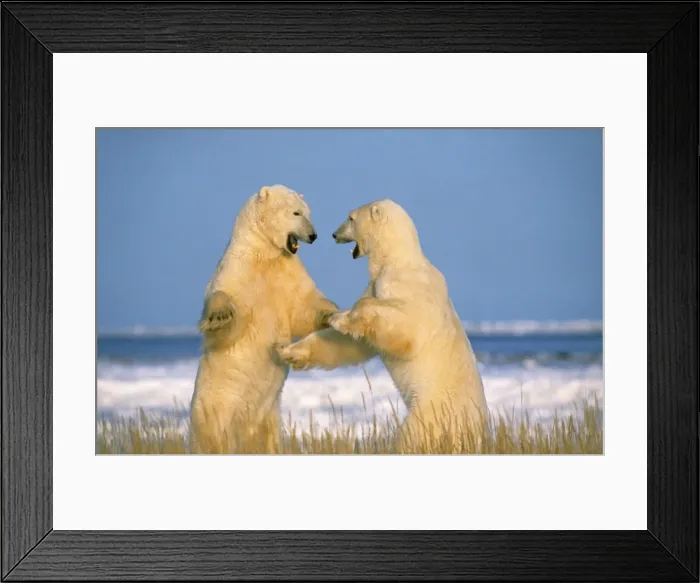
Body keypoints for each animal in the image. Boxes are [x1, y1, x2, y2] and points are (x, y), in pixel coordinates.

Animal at [189, 185, 339, 454]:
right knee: (213, 439)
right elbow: (228, 322)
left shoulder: (287, 270)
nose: (313, 235)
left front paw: (333, 314)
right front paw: (219, 315)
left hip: (268, 416)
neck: (264, 252)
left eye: (307, 212)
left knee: (269, 439)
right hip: (214, 410)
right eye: (296, 212)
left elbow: (304, 305)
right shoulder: (238, 271)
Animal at [276, 198, 489, 453]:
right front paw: (289, 351)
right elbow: (353, 343)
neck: (396, 258)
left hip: (434, 411)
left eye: (350, 218)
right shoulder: (376, 285)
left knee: (414, 437)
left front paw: (341, 317)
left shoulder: (404, 285)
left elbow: (405, 329)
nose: (334, 234)